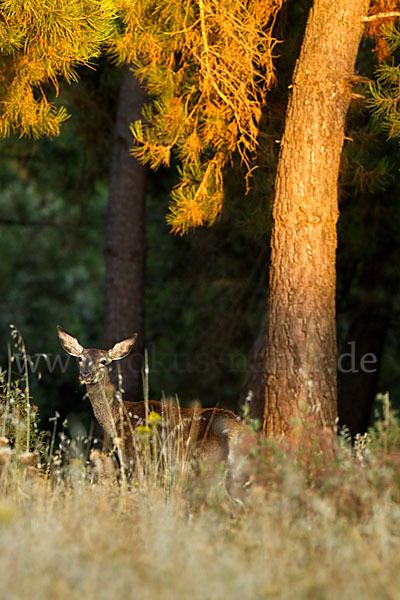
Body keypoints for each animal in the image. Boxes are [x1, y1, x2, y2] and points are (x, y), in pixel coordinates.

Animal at [55, 326, 244, 476]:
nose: (85, 374)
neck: (118, 417)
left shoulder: (135, 457)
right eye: (80, 358)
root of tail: (235, 430)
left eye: (103, 361)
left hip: (206, 462)